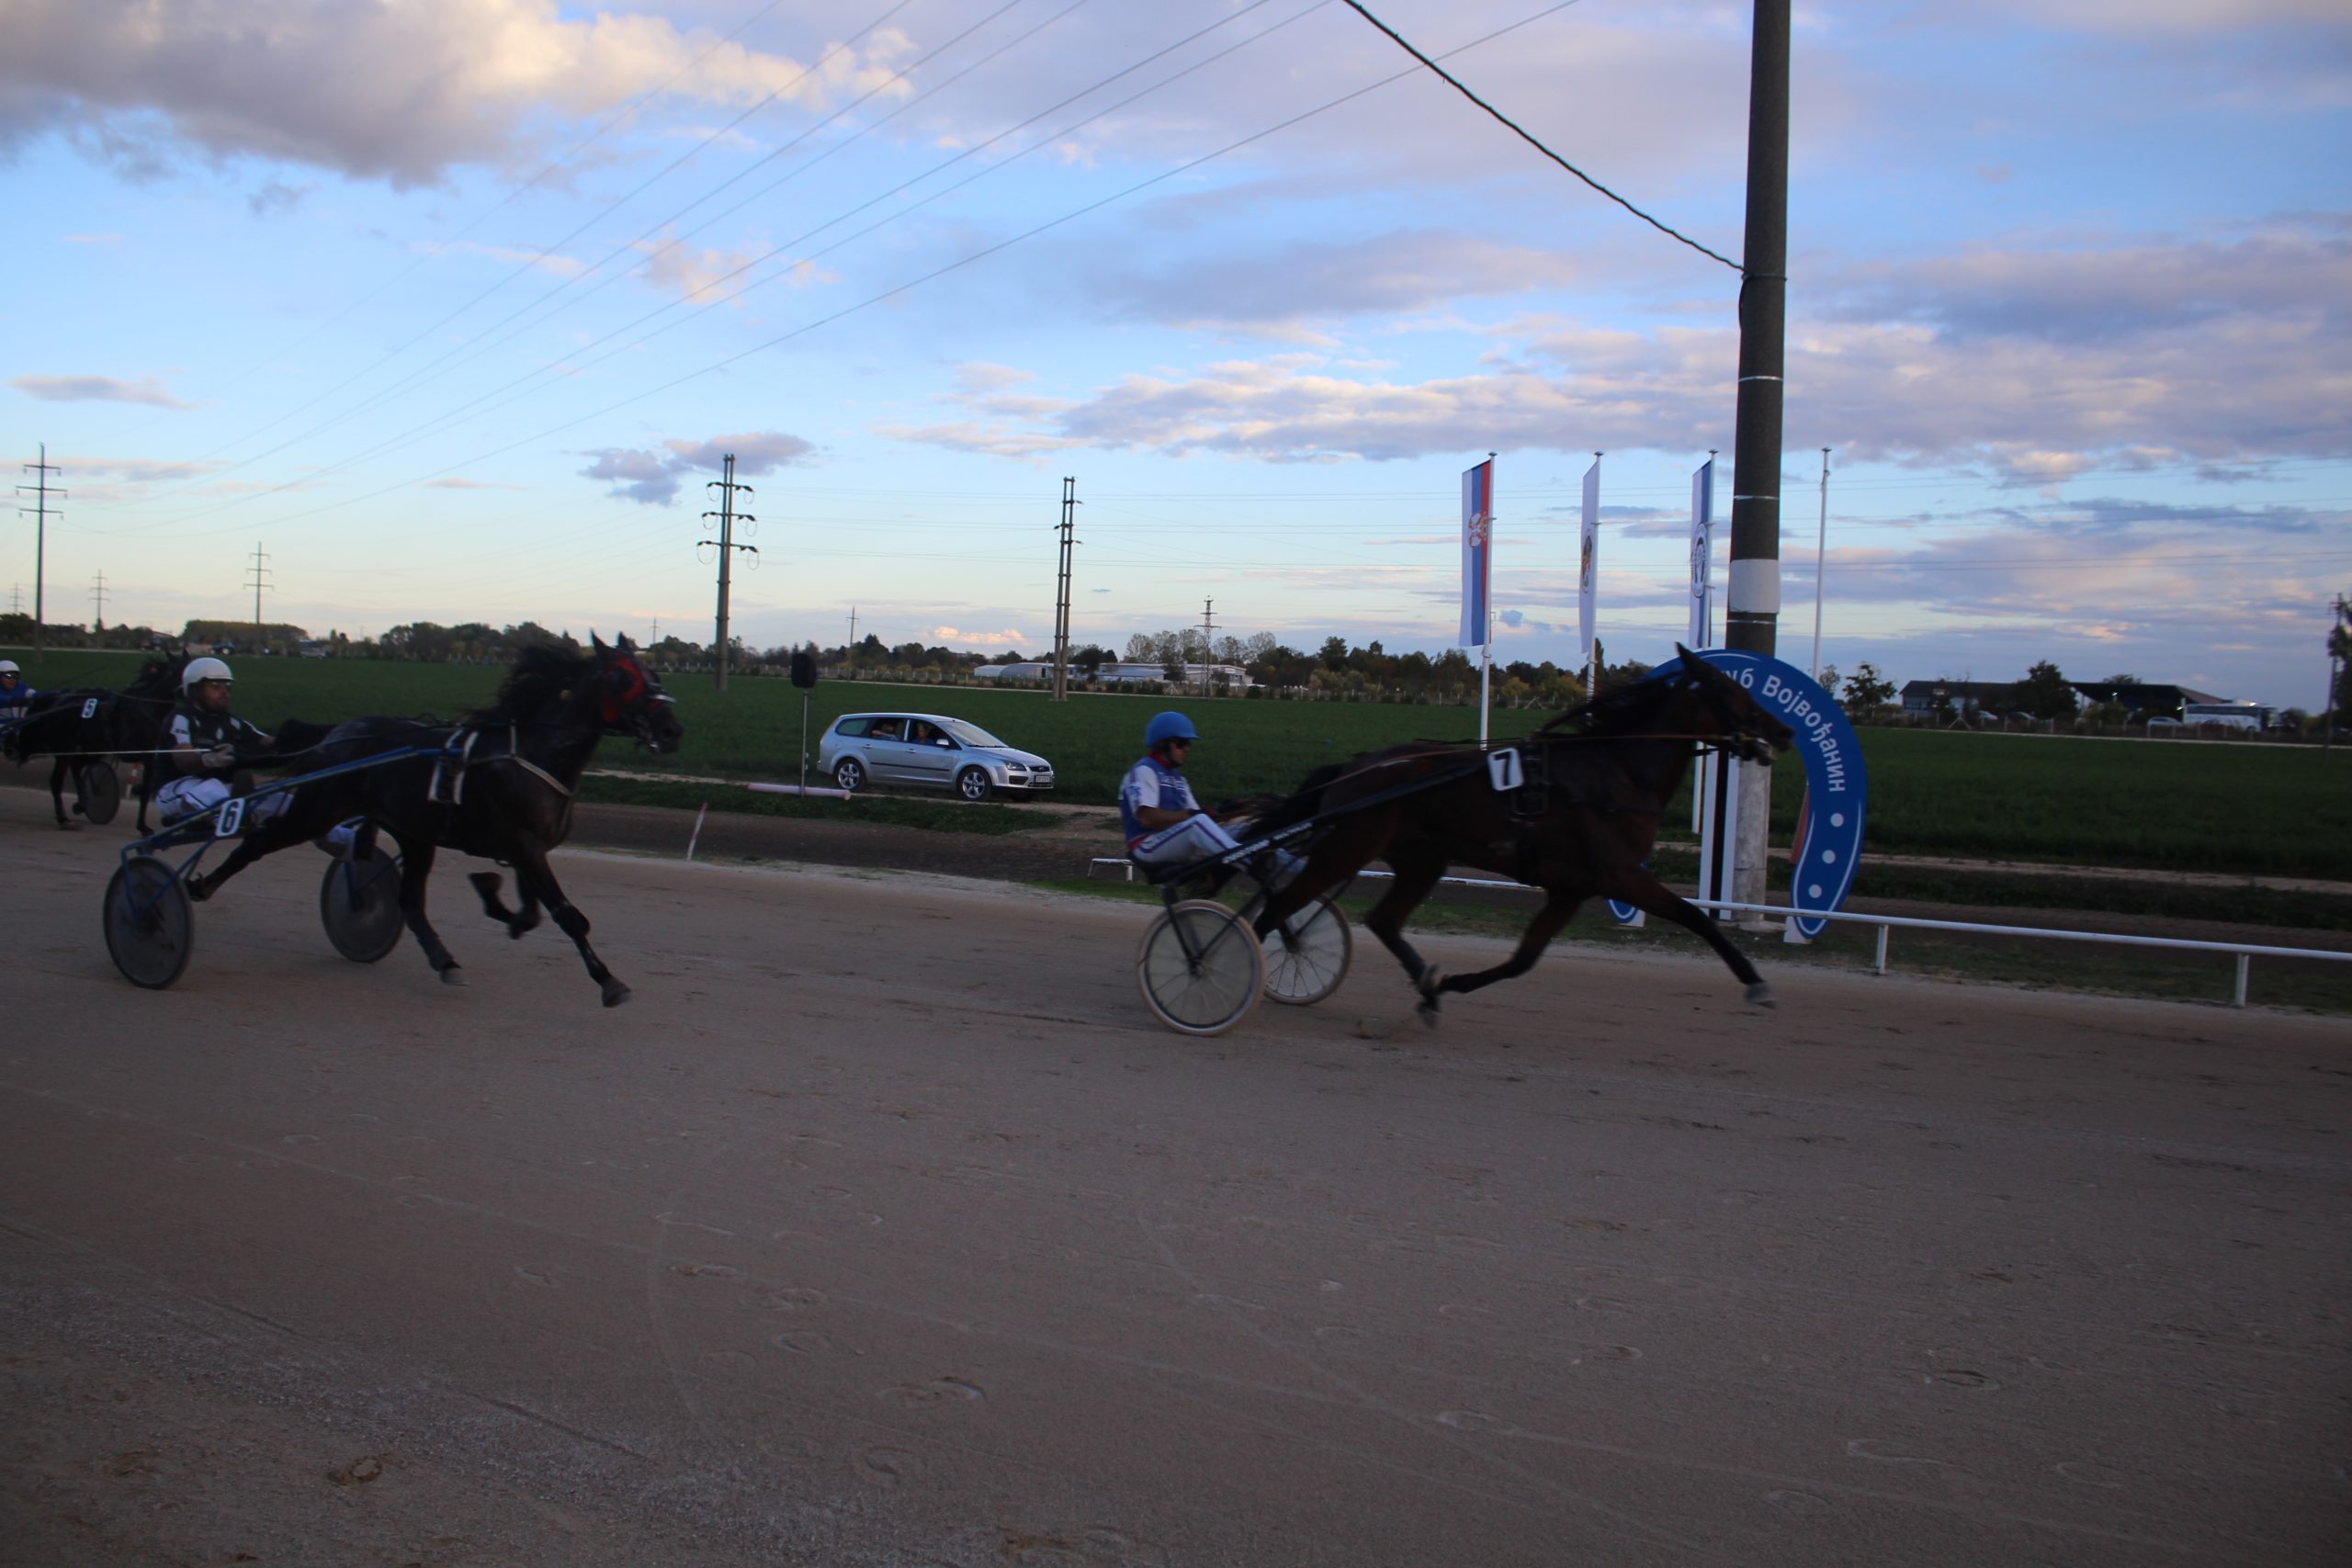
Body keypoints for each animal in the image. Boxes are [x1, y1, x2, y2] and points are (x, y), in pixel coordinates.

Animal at [4, 658, 186, 831]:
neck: (148, 709)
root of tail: (57, 699)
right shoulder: (138, 753)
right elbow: (149, 787)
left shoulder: (153, 756)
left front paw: (143, 826)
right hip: (65, 748)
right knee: (56, 781)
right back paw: (64, 819)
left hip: (95, 747)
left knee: (76, 765)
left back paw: (82, 804)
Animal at [1241, 649, 1787, 1020]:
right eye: (1732, 692)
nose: (1782, 732)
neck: (1616, 772)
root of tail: (1356, 765)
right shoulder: (1622, 876)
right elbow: (1696, 917)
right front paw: (1756, 983)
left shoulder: (1572, 888)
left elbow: (1523, 960)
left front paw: (1451, 984)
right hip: (1347, 847)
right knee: (1277, 909)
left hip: (1423, 858)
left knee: (1383, 920)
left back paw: (1426, 986)